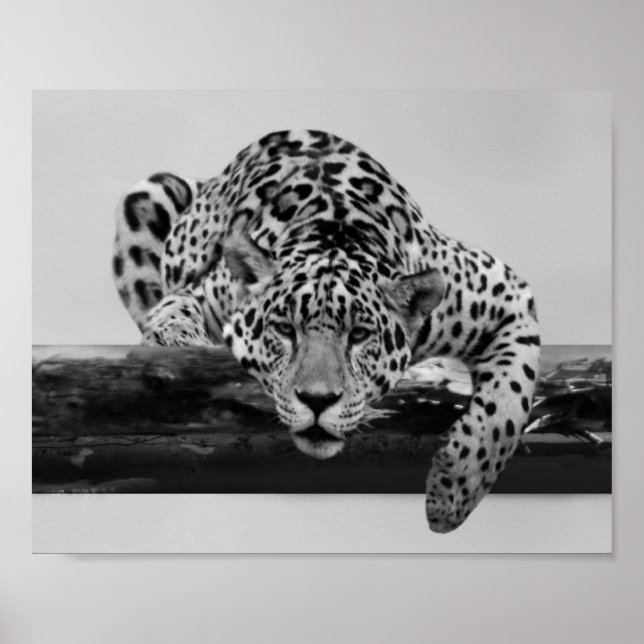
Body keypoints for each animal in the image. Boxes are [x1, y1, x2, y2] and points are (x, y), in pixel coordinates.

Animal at [113, 129, 540, 533]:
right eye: (284, 329)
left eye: (360, 335)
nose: (318, 401)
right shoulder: (204, 294)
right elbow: (172, 312)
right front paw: (175, 346)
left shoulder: (507, 294)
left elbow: (506, 406)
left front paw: (451, 496)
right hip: (146, 194)